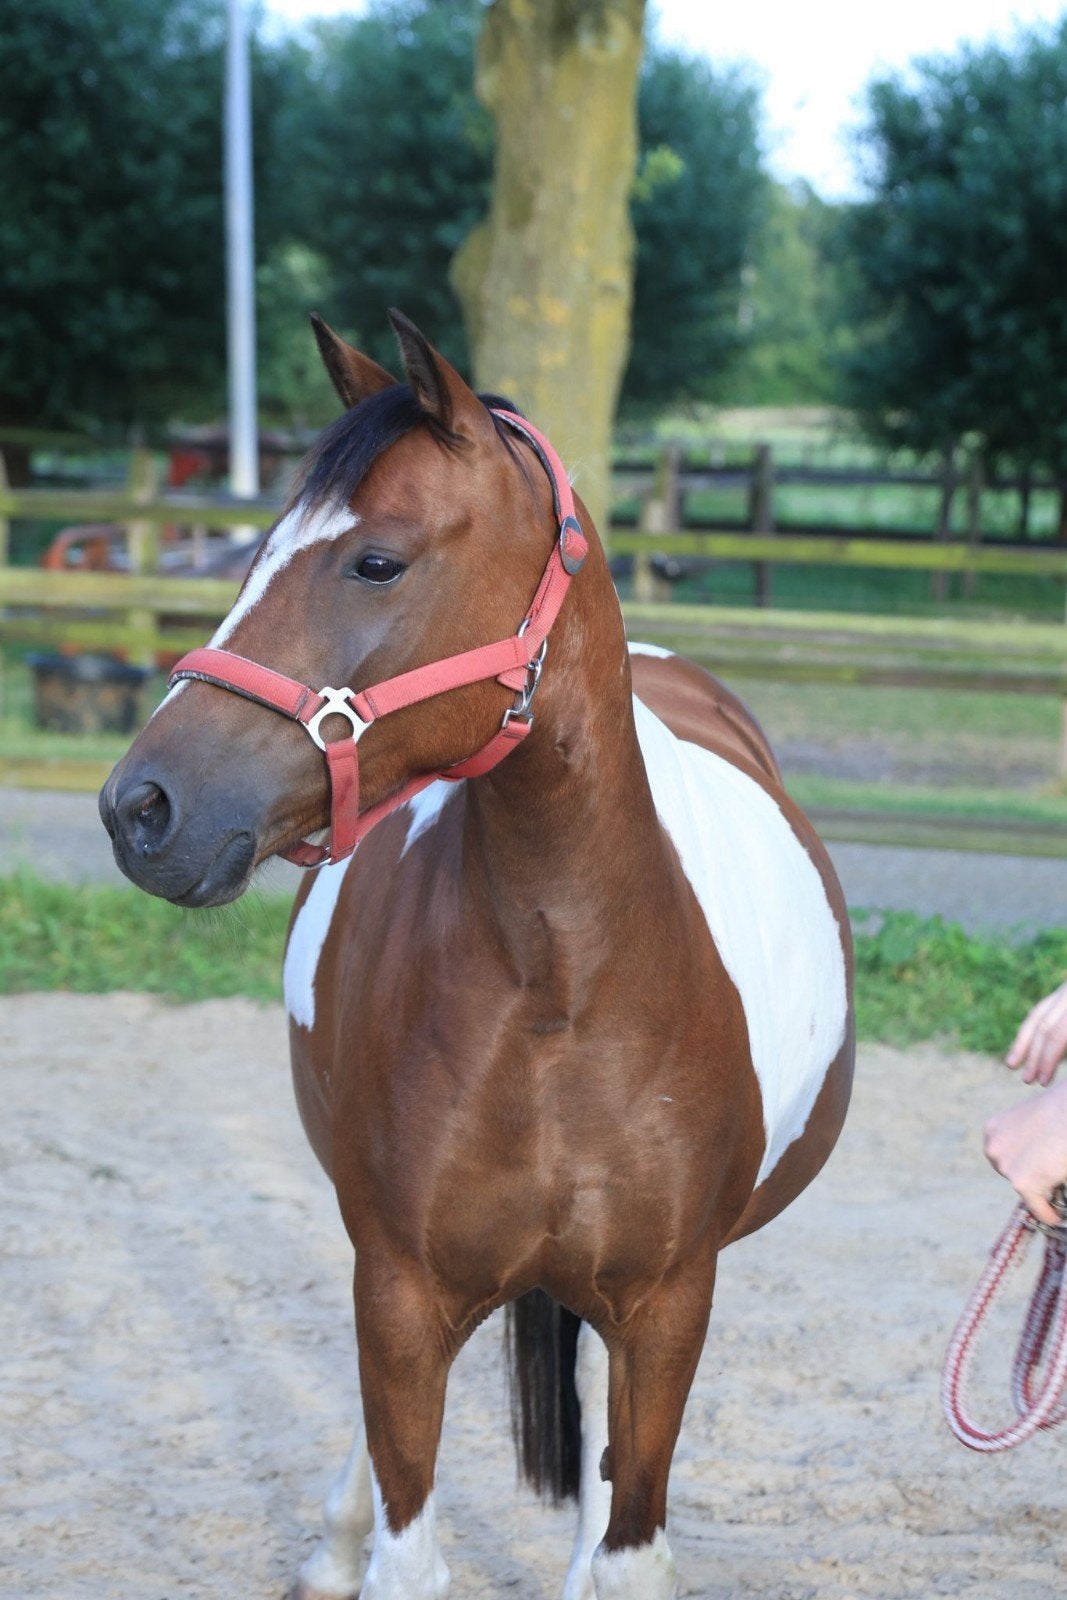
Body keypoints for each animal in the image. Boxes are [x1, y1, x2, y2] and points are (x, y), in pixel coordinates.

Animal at [100, 310, 855, 1600]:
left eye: (376, 562)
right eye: (256, 552)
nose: (140, 807)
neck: (564, 984)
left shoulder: (668, 1305)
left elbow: (629, 1540)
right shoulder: (401, 1288)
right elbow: (407, 1537)